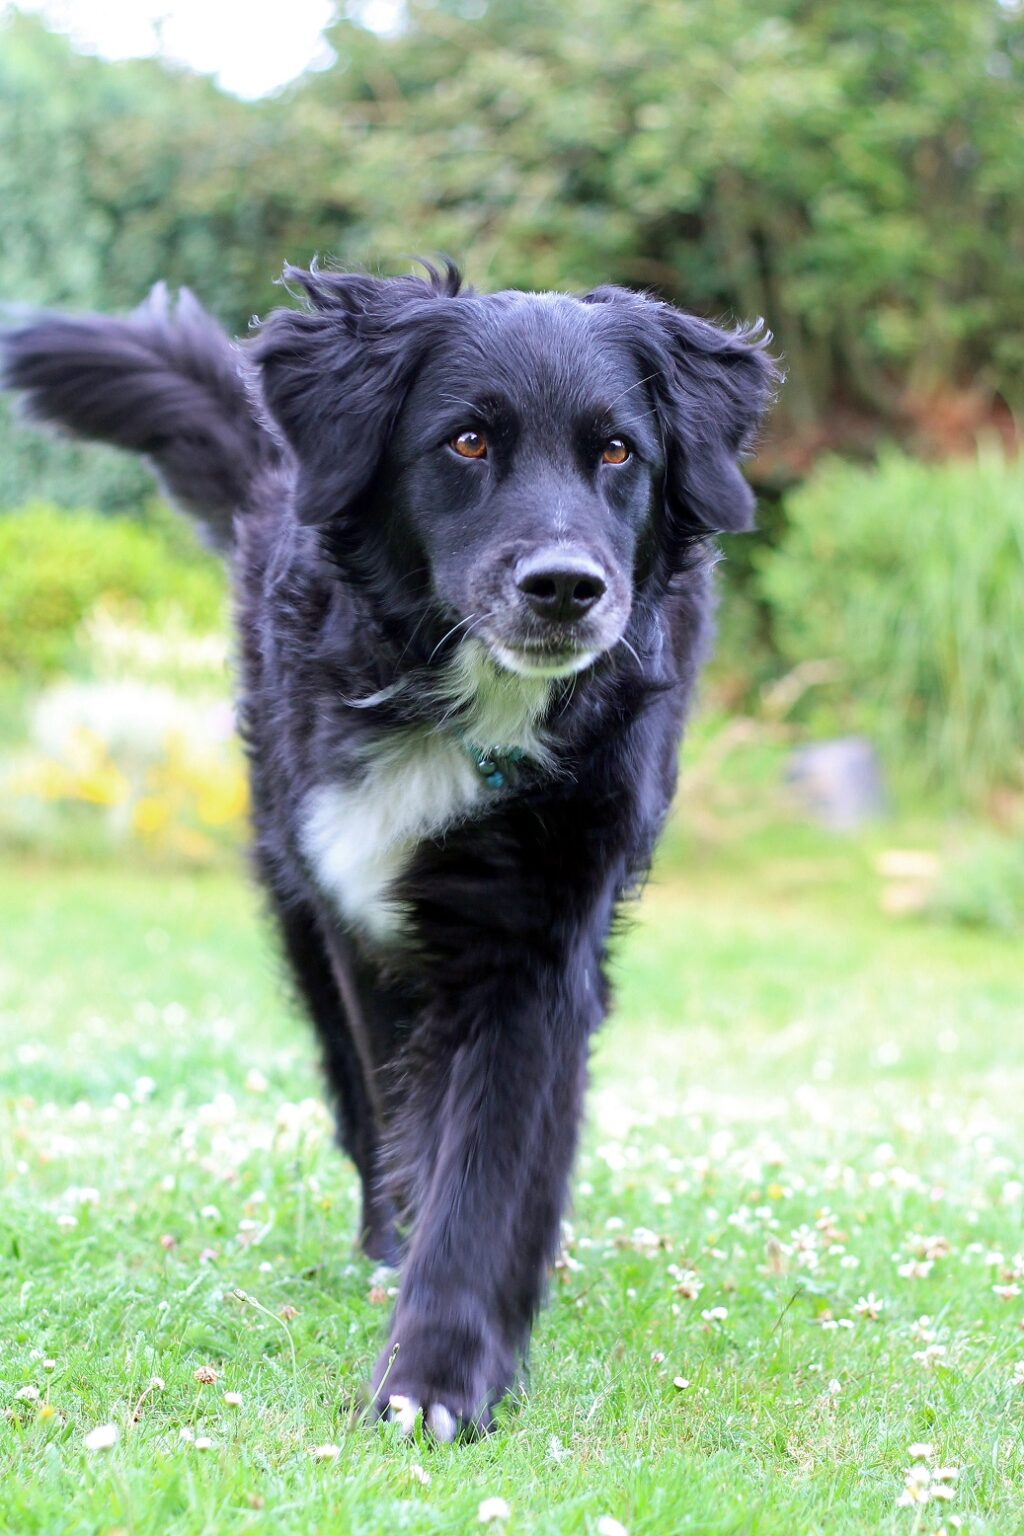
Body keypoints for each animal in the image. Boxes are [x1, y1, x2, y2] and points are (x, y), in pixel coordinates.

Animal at [2, 267, 776, 1437]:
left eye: (616, 452)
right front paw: (424, 1298)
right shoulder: (359, 905)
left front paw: (442, 1371)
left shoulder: (540, 944)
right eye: (466, 441)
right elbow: (407, 1115)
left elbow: (491, 1159)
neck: (468, 710)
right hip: (296, 895)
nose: (565, 587)